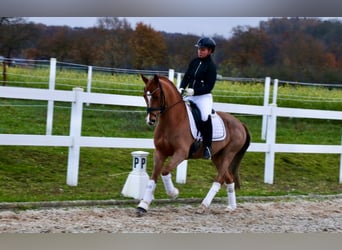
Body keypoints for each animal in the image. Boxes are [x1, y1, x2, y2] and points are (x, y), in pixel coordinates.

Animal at [137, 73, 251, 215]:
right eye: (144, 96)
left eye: (157, 96)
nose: (150, 120)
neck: (173, 120)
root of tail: (240, 123)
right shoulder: (159, 152)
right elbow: (153, 177)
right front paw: (143, 205)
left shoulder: (181, 153)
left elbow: (165, 171)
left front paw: (174, 193)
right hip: (217, 156)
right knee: (229, 179)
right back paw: (231, 207)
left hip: (228, 154)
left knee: (219, 179)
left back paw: (203, 206)